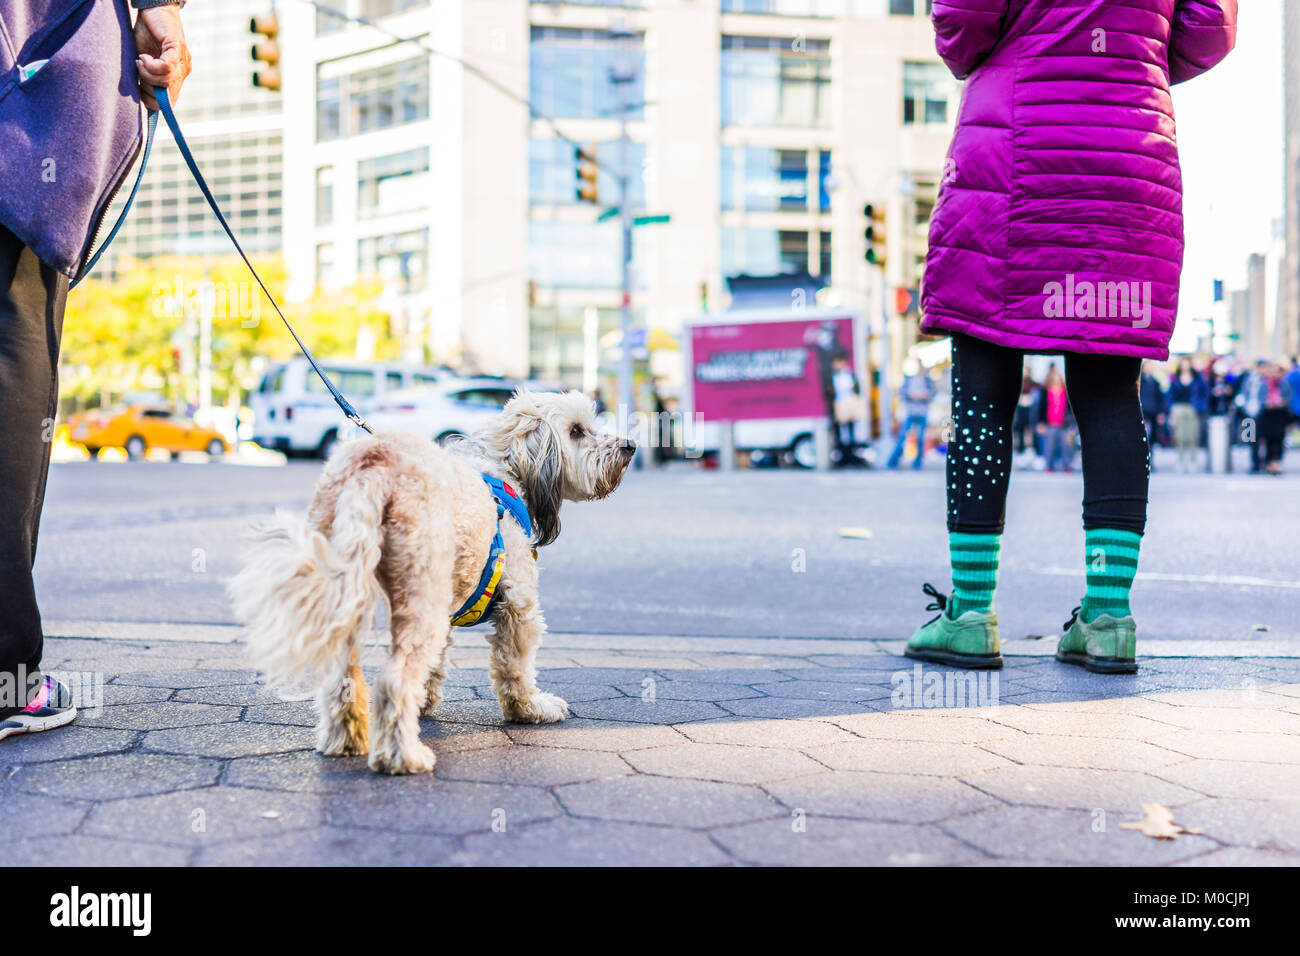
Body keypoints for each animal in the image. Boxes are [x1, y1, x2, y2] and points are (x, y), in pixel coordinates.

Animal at [233, 392, 639, 775]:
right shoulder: (518, 605)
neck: (504, 468)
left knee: (343, 677)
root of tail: (373, 465)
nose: (630, 445)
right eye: (577, 431)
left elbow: (435, 665)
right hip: (419, 594)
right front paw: (529, 709)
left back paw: (346, 739)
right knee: (394, 679)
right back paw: (402, 757)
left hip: (351, 592)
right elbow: (515, 667)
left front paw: (424, 703)